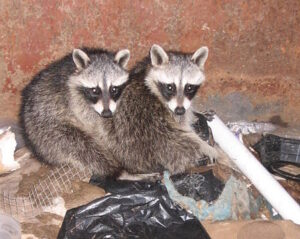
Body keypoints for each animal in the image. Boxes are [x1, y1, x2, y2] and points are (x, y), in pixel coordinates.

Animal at [19, 47, 130, 175]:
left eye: (114, 89)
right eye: (95, 90)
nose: (106, 113)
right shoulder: (73, 100)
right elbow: (89, 121)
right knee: (80, 146)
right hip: (46, 130)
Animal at [111, 44, 219, 174]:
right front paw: (205, 145)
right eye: (170, 87)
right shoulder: (169, 113)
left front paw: (196, 111)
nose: (179, 110)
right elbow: (185, 127)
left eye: (189, 87)